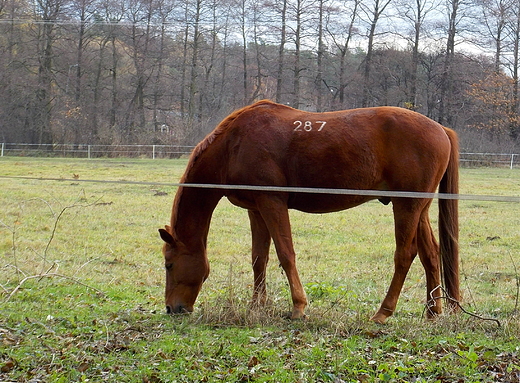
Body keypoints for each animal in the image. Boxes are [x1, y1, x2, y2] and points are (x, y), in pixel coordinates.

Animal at [159, 100, 460, 324]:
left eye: (168, 264)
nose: (172, 309)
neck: (233, 145)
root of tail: (441, 129)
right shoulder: (256, 209)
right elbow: (259, 258)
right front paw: (257, 306)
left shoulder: (272, 203)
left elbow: (285, 254)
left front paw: (298, 307)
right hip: (418, 208)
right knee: (430, 253)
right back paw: (433, 311)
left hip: (406, 205)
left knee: (405, 255)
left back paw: (383, 312)